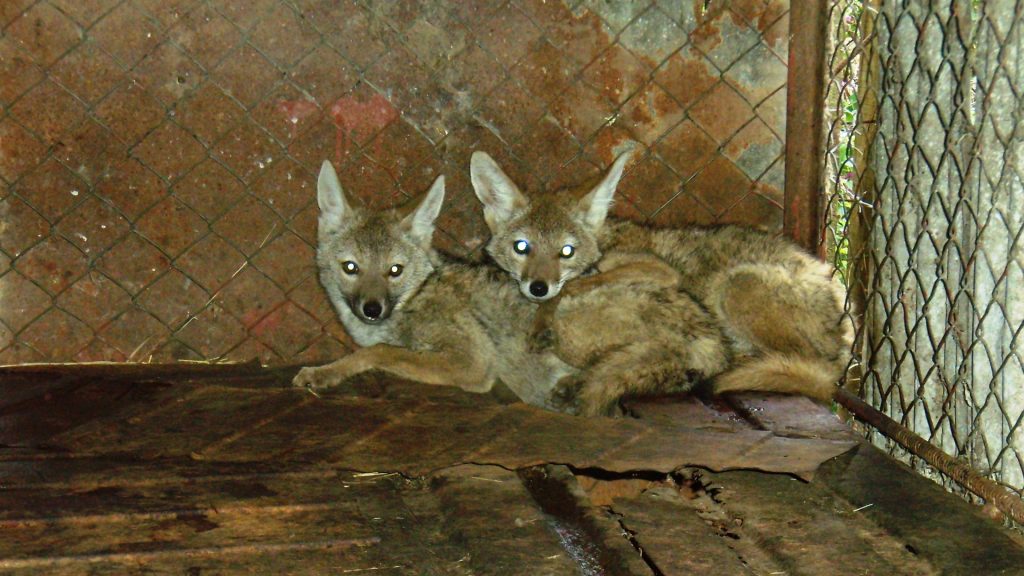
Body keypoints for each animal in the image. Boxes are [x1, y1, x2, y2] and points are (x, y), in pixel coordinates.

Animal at [292, 157, 733, 416]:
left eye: (394, 271)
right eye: (351, 268)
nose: (372, 309)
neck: (414, 300)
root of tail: (713, 336)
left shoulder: (471, 362)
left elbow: (378, 353)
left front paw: (325, 371)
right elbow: (373, 351)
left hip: (564, 326)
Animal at [468, 147, 851, 401]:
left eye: (566, 252)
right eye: (522, 247)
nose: (537, 287)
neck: (605, 241)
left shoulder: (659, 271)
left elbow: (575, 285)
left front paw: (543, 321)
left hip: (737, 284)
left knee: (809, 368)